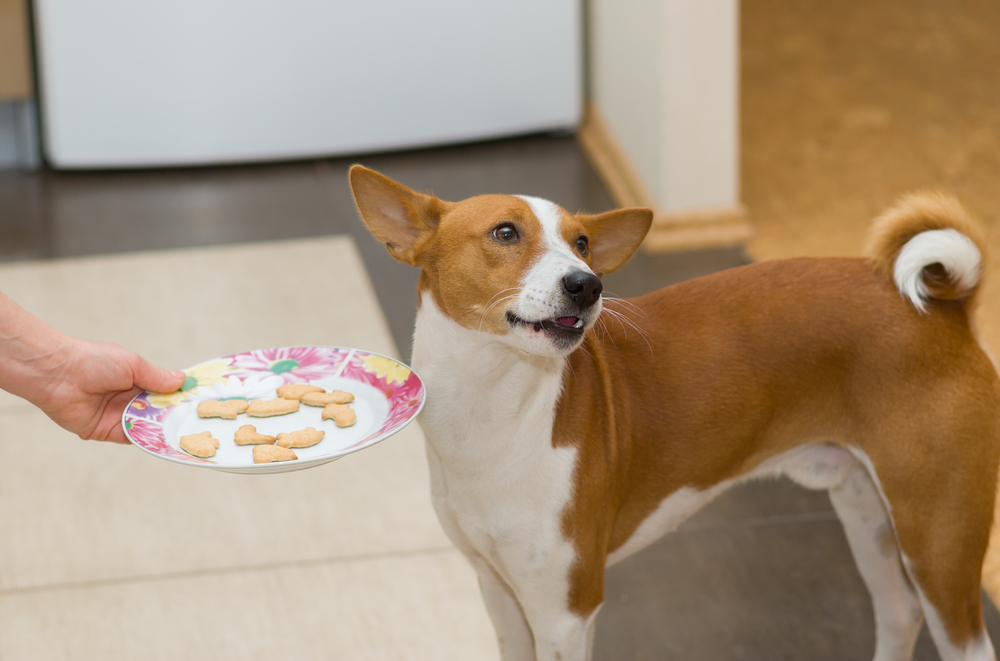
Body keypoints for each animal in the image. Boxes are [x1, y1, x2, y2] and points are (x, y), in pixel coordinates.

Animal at [352, 164, 1000, 660]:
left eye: (581, 243)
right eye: (505, 232)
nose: (587, 284)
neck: (493, 420)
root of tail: (943, 312)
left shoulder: (565, 611)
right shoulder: (499, 592)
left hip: (937, 543)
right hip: (869, 513)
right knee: (898, 612)